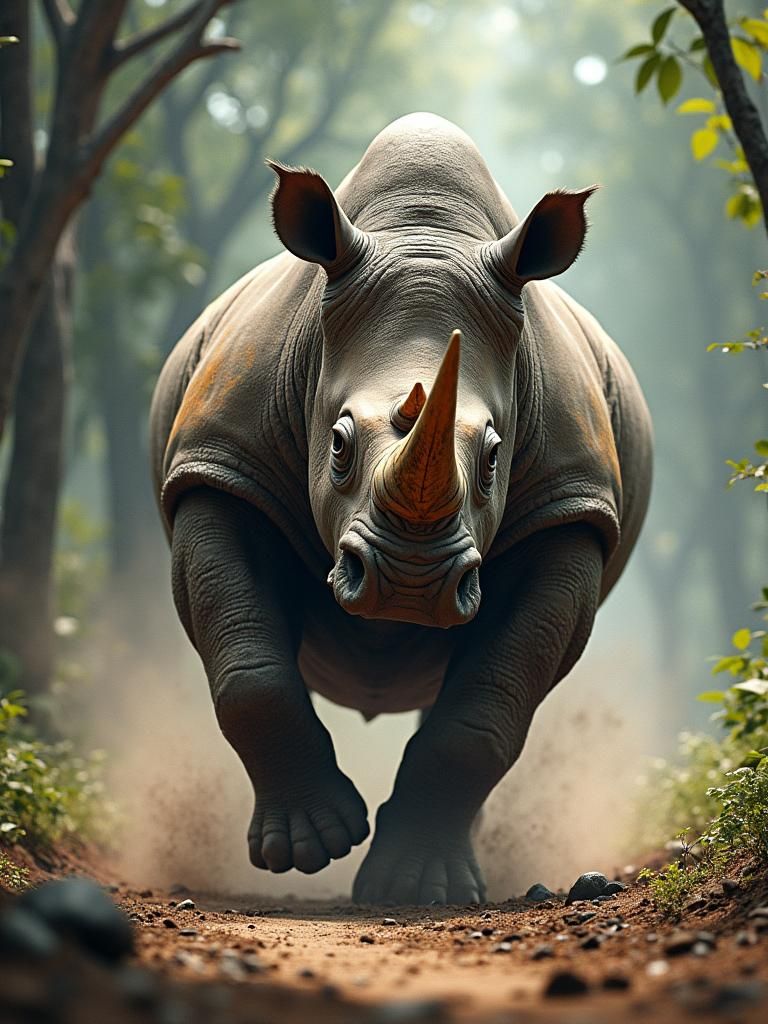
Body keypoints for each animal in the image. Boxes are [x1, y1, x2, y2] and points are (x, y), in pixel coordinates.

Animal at [150, 113, 652, 905]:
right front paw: (309, 848)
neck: (425, 231)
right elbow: (249, 669)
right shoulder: (222, 466)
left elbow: (485, 715)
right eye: (338, 443)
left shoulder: (570, 505)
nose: (411, 587)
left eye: (493, 457)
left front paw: (420, 891)